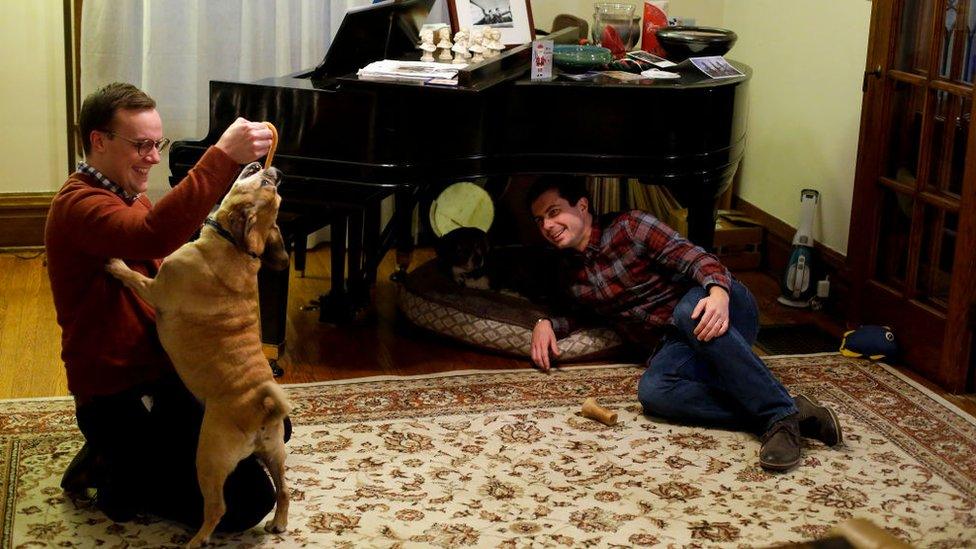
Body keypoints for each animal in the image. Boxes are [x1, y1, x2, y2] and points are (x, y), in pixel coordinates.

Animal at [107, 161, 292, 544]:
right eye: (273, 190)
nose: (274, 170)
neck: (236, 245)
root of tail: (262, 408)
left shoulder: (156, 289)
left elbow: (134, 277)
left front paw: (117, 265)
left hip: (209, 459)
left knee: (217, 509)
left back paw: (196, 540)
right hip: (275, 452)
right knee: (285, 490)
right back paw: (279, 522)